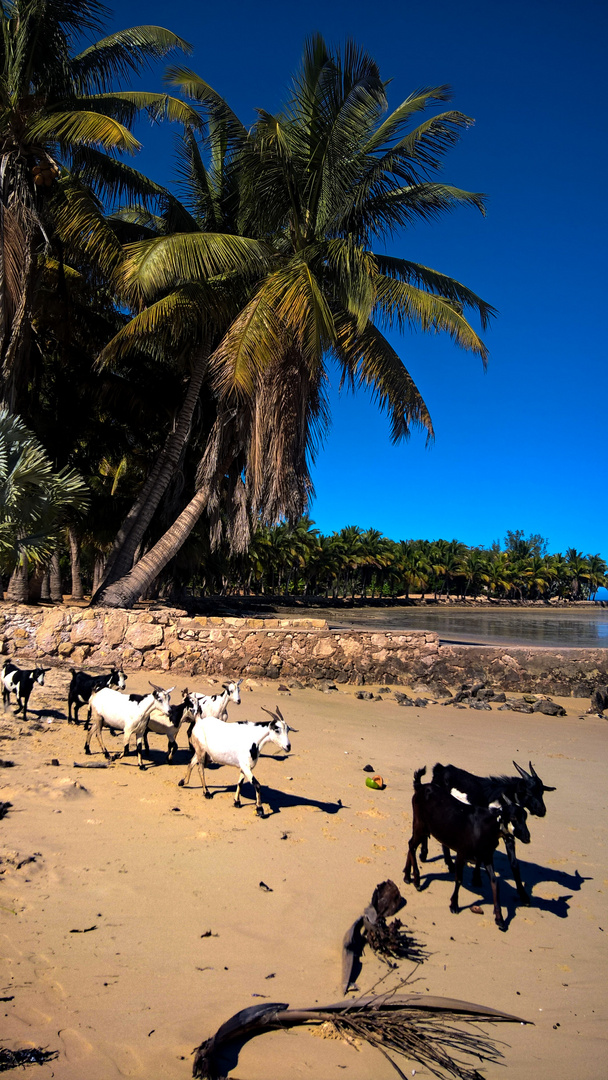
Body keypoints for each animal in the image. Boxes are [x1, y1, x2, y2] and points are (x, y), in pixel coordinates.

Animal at [403, 764, 529, 933]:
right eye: (513, 818)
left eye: (525, 816)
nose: (527, 837)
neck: (484, 826)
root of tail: (420, 786)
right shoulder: (462, 852)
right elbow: (458, 879)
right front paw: (454, 905)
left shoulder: (487, 856)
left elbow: (495, 882)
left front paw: (500, 919)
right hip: (420, 824)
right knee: (412, 845)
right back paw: (416, 880)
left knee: (411, 845)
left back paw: (407, 876)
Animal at [423, 764, 557, 907]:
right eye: (529, 792)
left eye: (541, 792)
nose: (542, 811)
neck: (502, 800)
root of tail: (441, 768)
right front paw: (476, 878)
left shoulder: (507, 834)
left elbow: (514, 864)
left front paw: (524, 895)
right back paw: (426, 855)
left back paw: (449, 863)